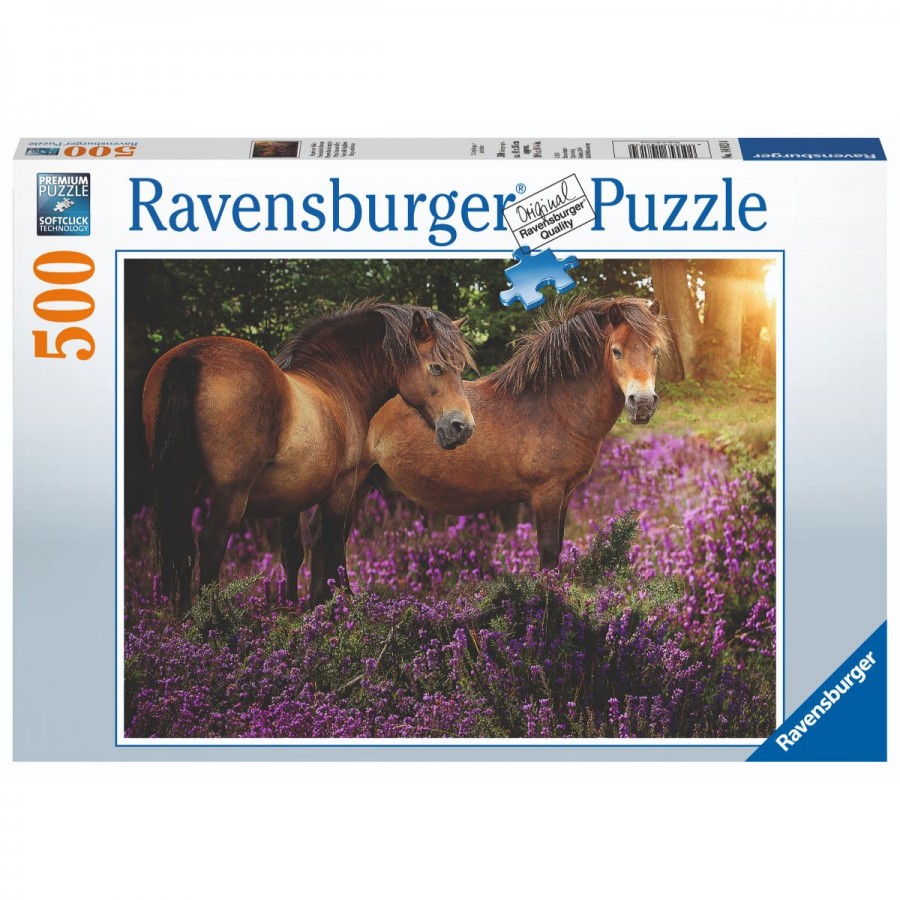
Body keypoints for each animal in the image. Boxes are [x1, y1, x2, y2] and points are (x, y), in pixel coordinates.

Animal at [142, 301, 475, 615]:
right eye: (436, 367)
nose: (462, 427)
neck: (335, 382)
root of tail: (192, 358)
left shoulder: (290, 497)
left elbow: (293, 553)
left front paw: (292, 608)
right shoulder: (343, 487)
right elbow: (334, 545)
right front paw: (343, 602)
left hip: (183, 488)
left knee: (183, 549)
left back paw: (187, 619)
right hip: (231, 493)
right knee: (211, 545)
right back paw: (214, 622)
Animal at [323, 296, 668, 575]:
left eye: (655, 351)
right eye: (617, 351)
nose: (643, 403)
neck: (554, 405)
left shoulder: (565, 493)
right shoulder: (546, 493)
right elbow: (548, 553)